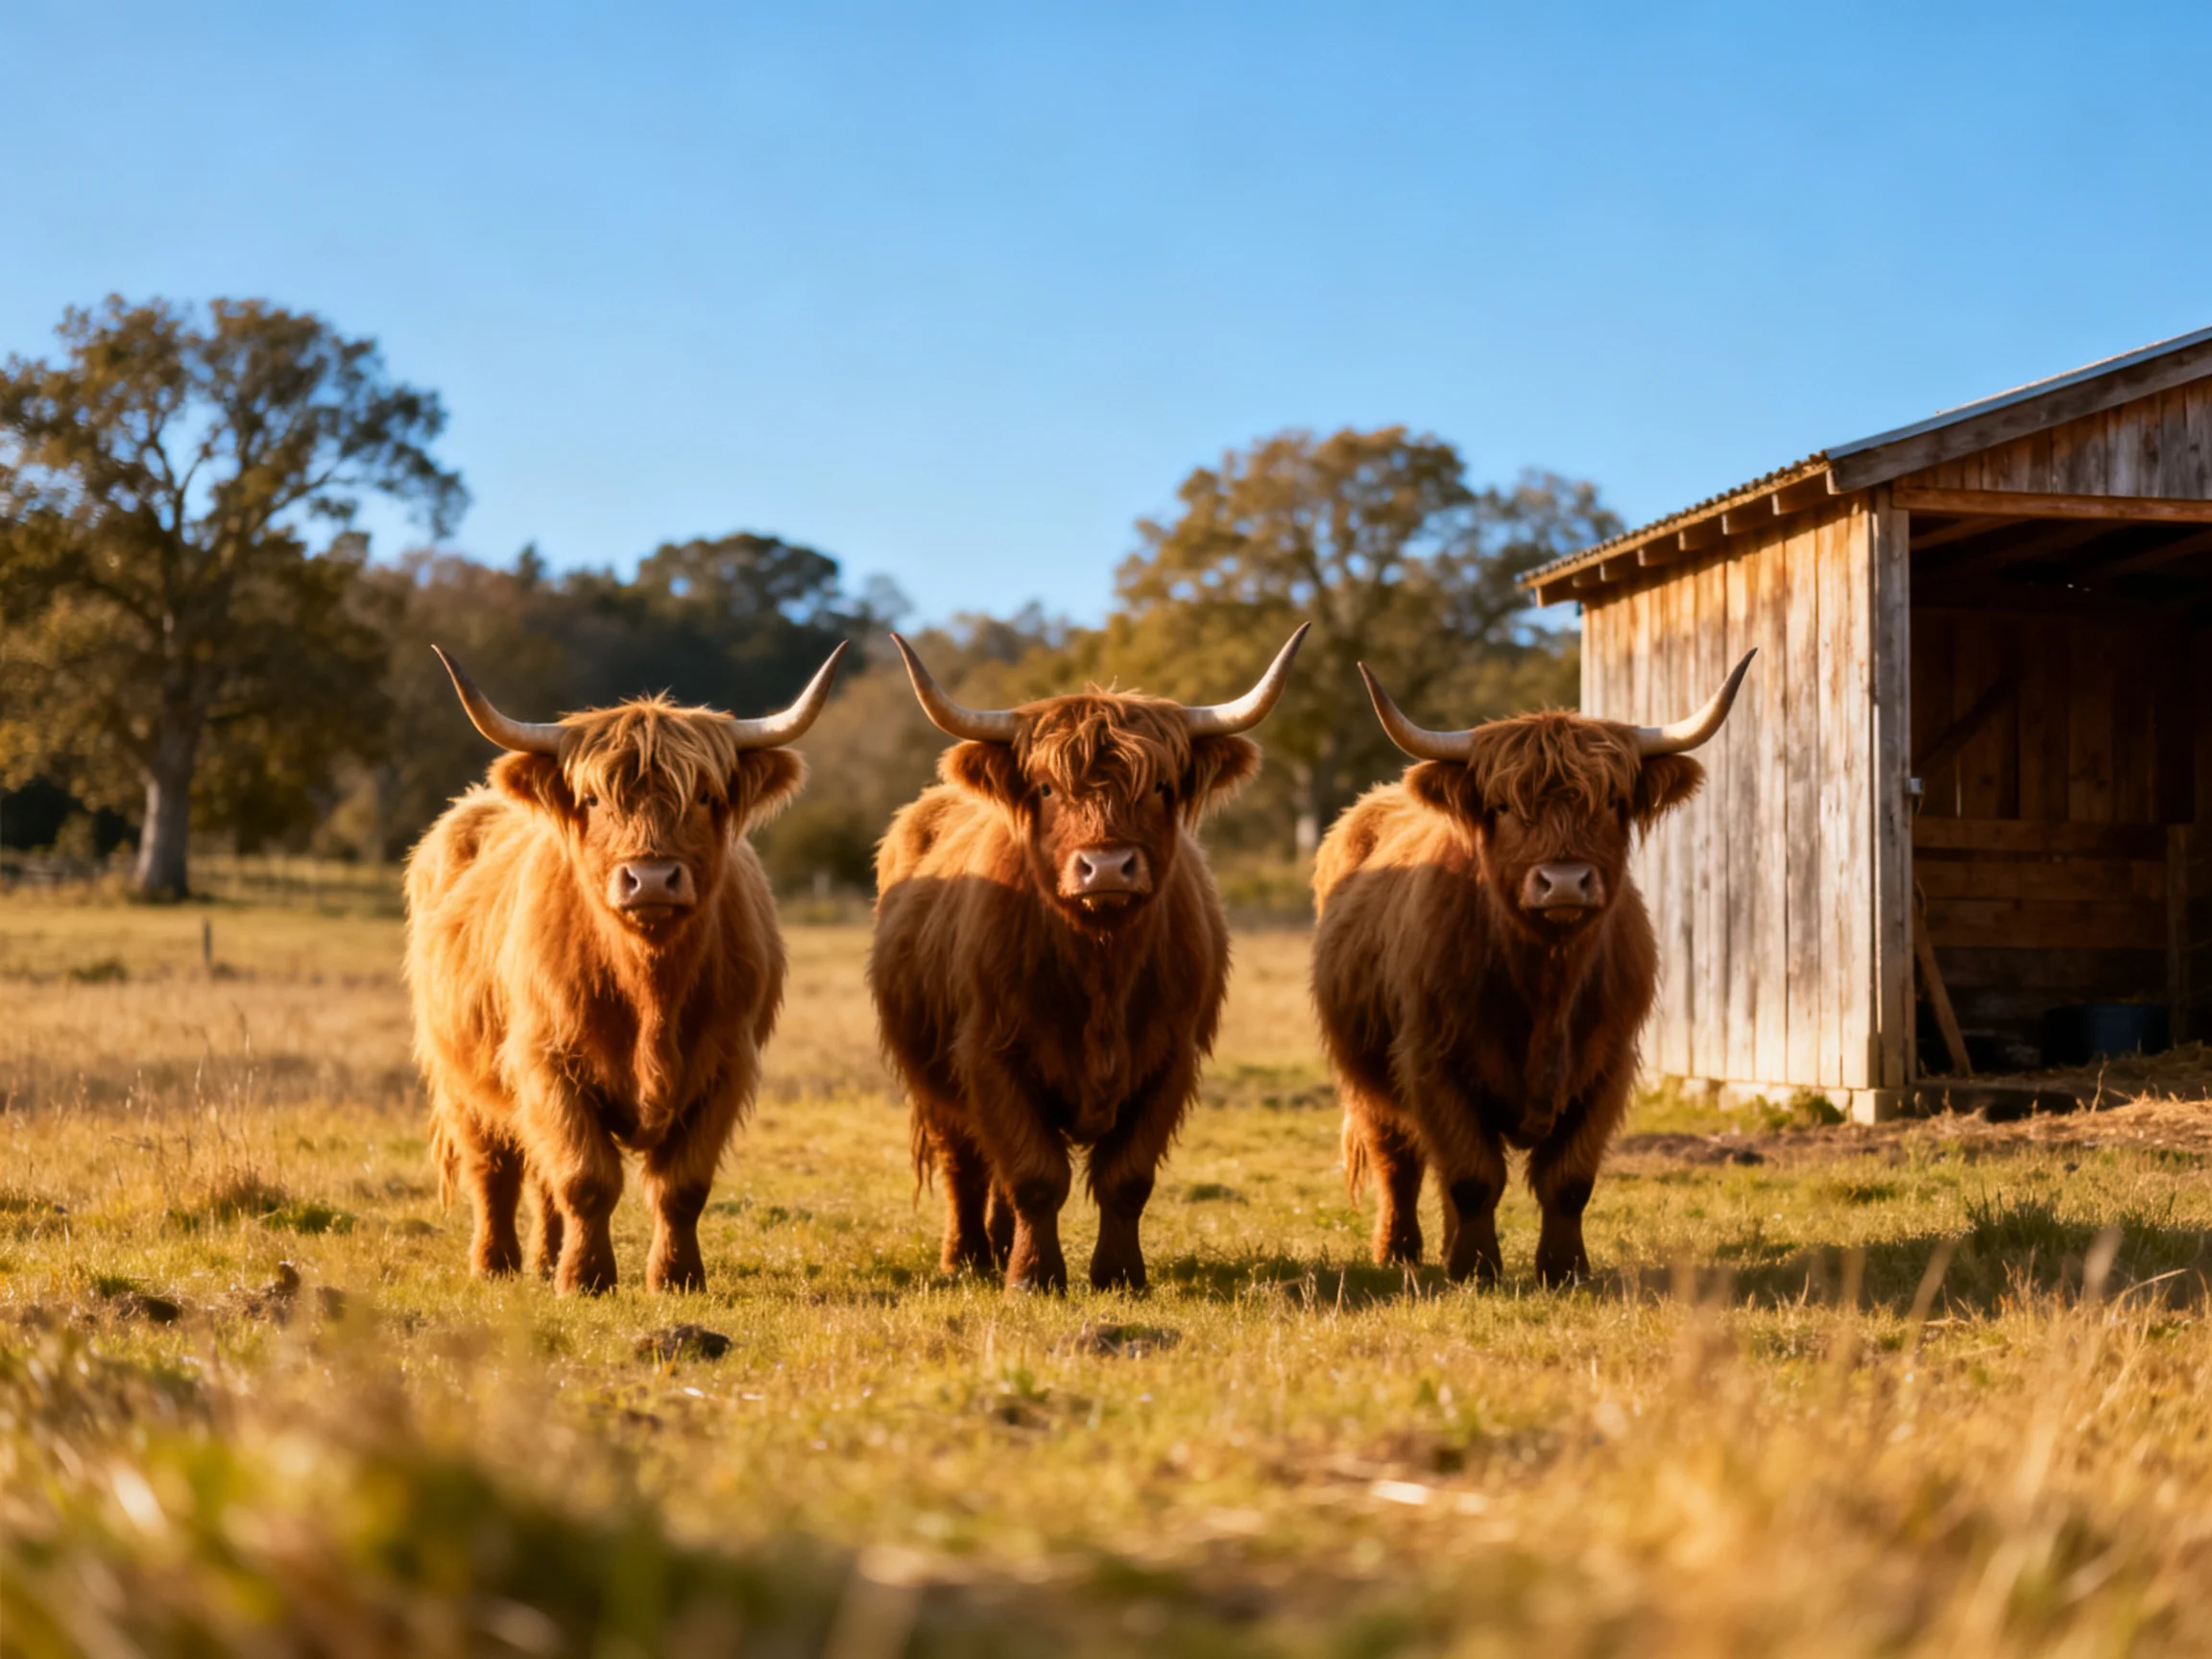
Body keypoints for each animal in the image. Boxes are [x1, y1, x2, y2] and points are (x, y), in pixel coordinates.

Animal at [404, 643, 844, 1294]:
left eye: (704, 796)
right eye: (592, 800)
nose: (652, 879)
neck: (648, 984)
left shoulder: (725, 1065)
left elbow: (681, 1186)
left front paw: (676, 1277)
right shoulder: (546, 1060)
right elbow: (586, 1179)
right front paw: (585, 1278)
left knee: (539, 1177)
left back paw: (544, 1260)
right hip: (459, 1073)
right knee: (495, 1168)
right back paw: (496, 1264)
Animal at [869, 627, 1307, 1293]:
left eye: (1159, 787)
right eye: (1048, 788)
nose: (1106, 867)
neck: (1101, 963)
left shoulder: (1170, 1059)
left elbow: (1126, 1178)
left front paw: (1119, 1275)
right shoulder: (990, 1054)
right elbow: (1034, 1174)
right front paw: (1033, 1277)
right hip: (931, 1074)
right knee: (963, 1161)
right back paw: (967, 1256)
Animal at [1311, 650, 1753, 1286]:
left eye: (1612, 803)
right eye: (1502, 807)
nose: (1564, 882)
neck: (1547, 986)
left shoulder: (1609, 1065)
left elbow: (1567, 1182)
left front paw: (1563, 1269)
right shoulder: (1430, 1061)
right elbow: (1472, 1177)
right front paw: (1475, 1271)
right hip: (1364, 1074)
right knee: (1400, 1159)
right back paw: (1398, 1250)